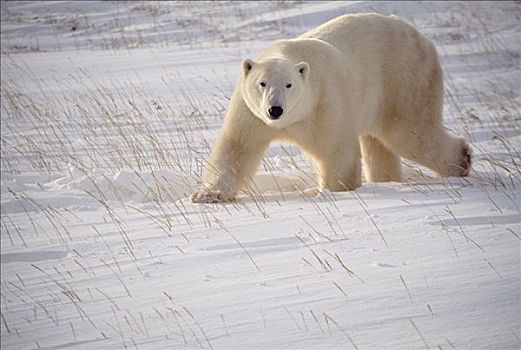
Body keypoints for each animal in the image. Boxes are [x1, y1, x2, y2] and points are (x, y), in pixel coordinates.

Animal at [191, 13, 472, 204]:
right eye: (262, 83)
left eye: (289, 84)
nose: (275, 110)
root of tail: (423, 38)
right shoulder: (251, 113)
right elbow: (237, 146)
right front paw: (208, 195)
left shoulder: (323, 104)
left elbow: (335, 148)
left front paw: (334, 190)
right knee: (379, 143)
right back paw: (387, 179)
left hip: (404, 80)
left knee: (410, 132)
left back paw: (462, 160)